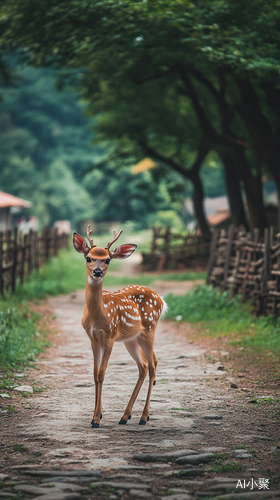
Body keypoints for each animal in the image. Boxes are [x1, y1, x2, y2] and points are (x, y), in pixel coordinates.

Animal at [73, 226, 167, 426]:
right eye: (88, 257)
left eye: (107, 259)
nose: (97, 272)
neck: (98, 315)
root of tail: (161, 299)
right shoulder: (93, 338)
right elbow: (95, 374)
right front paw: (97, 414)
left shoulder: (110, 335)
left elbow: (102, 373)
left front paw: (96, 419)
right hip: (131, 339)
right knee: (144, 365)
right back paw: (125, 416)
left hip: (149, 329)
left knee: (153, 364)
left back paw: (144, 417)